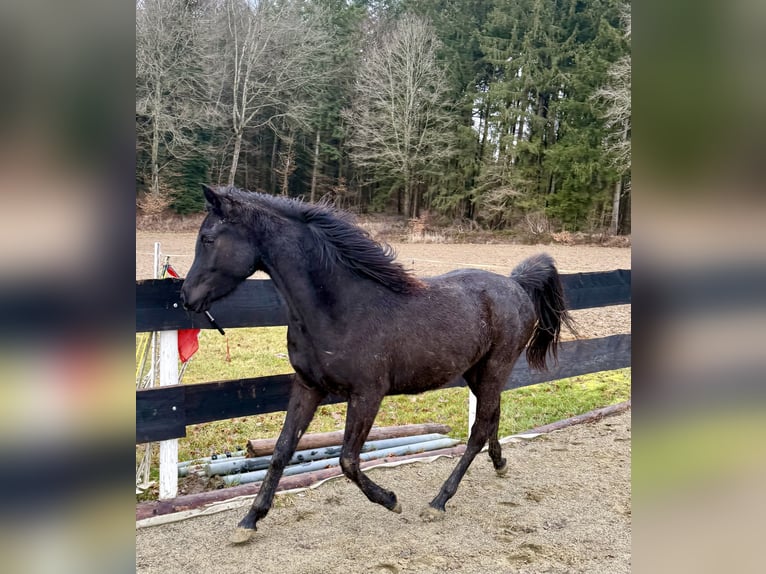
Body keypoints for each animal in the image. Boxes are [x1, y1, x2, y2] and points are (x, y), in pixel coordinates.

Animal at [181, 184, 576, 544]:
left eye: (208, 238)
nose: (186, 297)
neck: (340, 308)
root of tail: (516, 283)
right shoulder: (308, 387)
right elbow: (281, 451)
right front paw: (249, 521)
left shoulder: (367, 394)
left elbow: (348, 460)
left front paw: (390, 500)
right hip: (477, 373)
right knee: (492, 419)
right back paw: (499, 464)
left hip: (495, 368)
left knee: (478, 430)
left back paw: (438, 502)